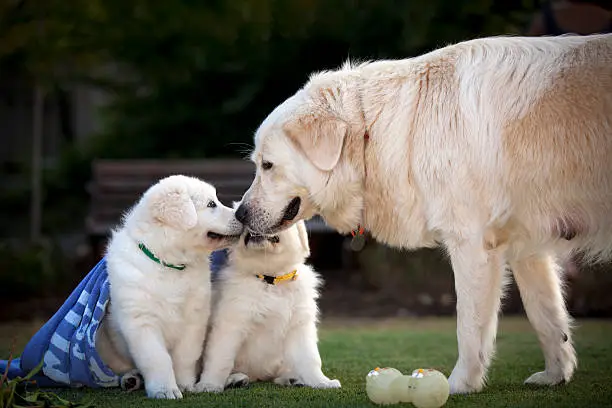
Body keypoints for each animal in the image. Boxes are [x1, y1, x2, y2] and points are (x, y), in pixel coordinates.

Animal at [97, 175, 243, 398]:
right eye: (211, 204)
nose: (243, 216)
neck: (170, 263)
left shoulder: (194, 321)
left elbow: (185, 356)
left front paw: (184, 384)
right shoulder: (142, 322)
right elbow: (157, 359)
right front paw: (164, 390)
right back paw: (130, 379)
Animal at [233, 35, 612, 396]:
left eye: (268, 166)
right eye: (257, 164)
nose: (239, 213)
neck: (374, 130)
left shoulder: (472, 244)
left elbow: (469, 327)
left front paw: (460, 385)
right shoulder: (527, 248)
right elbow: (547, 319)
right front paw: (555, 376)